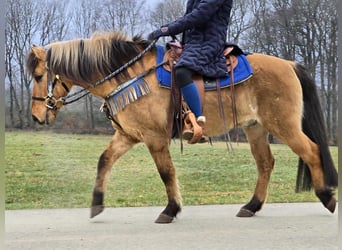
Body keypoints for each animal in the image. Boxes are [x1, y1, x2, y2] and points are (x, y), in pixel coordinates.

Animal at [26, 30, 336, 224]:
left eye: (40, 75)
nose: (37, 116)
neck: (130, 75)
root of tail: (289, 64)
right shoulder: (128, 135)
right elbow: (105, 161)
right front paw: (96, 203)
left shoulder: (154, 138)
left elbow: (166, 173)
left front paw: (171, 209)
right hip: (255, 128)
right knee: (265, 163)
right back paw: (251, 206)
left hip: (283, 126)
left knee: (311, 151)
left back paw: (326, 196)